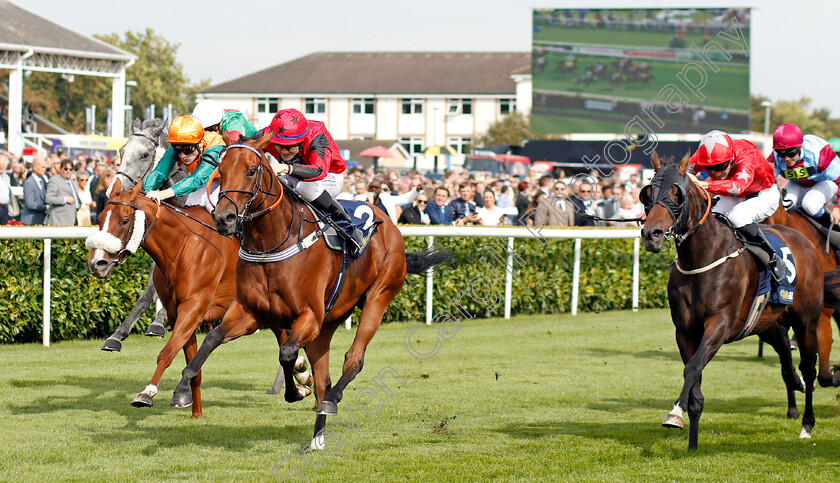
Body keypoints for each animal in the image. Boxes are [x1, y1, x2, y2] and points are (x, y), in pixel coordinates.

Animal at [84, 183, 302, 418]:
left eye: (125, 220)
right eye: (100, 217)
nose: (97, 263)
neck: (182, 246)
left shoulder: (193, 308)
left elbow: (167, 352)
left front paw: (147, 393)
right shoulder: (177, 313)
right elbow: (192, 361)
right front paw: (194, 410)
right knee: (282, 335)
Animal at [167, 132, 450, 450]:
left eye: (251, 170)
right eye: (220, 171)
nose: (224, 218)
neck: (272, 242)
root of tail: (388, 221)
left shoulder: (309, 316)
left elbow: (288, 352)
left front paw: (295, 392)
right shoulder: (250, 312)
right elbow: (211, 339)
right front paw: (181, 389)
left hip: (378, 296)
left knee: (353, 360)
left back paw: (331, 400)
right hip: (327, 325)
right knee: (323, 378)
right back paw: (317, 439)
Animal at [636, 152, 832, 450]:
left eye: (676, 193)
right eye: (647, 193)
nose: (652, 234)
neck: (702, 257)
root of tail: (806, 241)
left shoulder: (720, 325)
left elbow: (692, 368)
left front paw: (674, 413)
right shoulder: (684, 331)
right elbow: (695, 379)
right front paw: (691, 438)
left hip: (806, 321)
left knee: (809, 369)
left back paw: (807, 424)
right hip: (767, 323)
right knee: (786, 356)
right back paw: (794, 386)